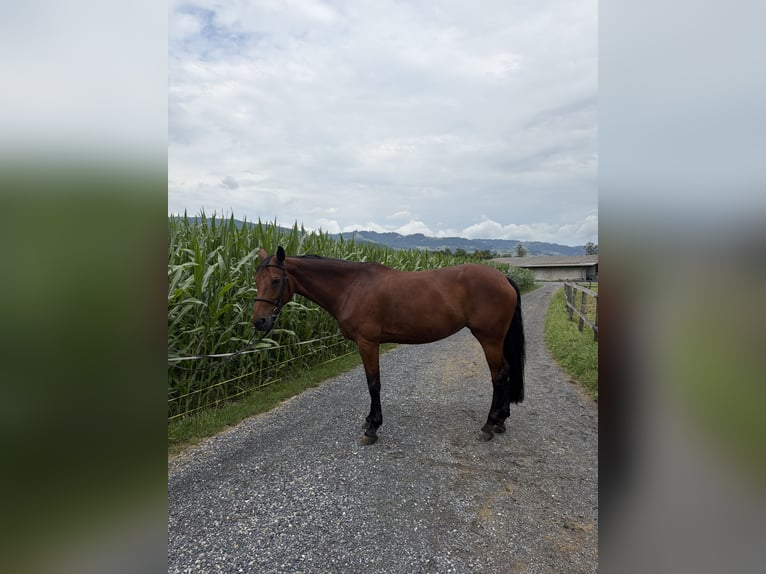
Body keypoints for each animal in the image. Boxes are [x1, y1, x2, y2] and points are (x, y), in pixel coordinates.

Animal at [251, 246, 525, 445]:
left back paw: (488, 426)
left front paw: (372, 427)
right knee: (507, 371)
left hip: (489, 338)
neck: (351, 287)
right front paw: (369, 421)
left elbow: (374, 384)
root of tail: (503, 277)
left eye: (275, 280)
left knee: (498, 376)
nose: (259, 321)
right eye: (255, 279)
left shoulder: (368, 343)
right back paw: (501, 421)